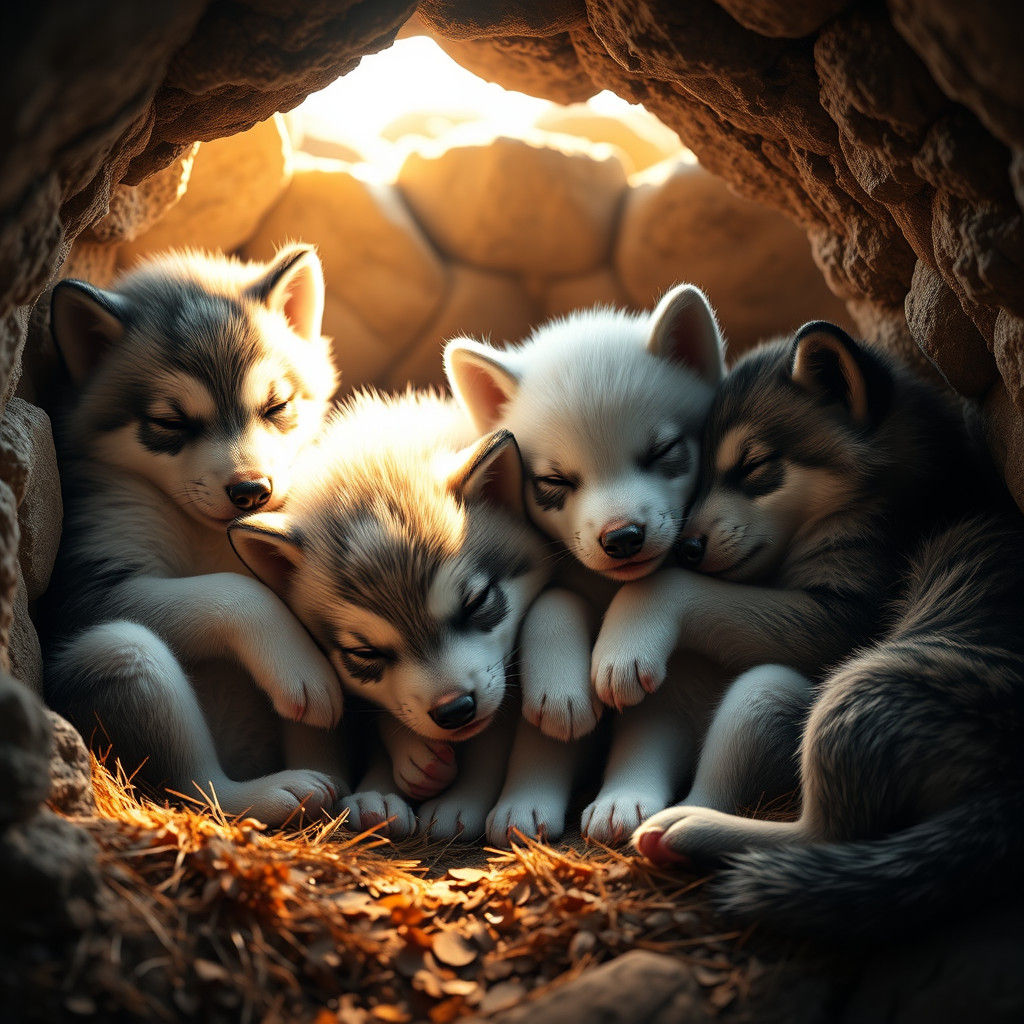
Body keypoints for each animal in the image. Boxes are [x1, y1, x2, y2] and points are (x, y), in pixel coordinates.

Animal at [43, 245, 347, 825]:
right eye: (172, 422)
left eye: (277, 407)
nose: (251, 491)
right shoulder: (92, 582)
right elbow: (233, 590)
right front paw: (301, 662)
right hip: (123, 654)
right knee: (196, 788)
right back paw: (273, 793)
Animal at [445, 285, 730, 844]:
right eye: (554, 481)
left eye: (663, 451)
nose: (622, 538)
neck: (605, 589)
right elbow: (554, 607)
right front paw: (561, 693)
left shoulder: (676, 689)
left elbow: (646, 730)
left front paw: (625, 796)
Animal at [627, 321, 1024, 936]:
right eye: (696, 478)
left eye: (753, 467)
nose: (687, 548)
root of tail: (1011, 791)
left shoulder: (845, 617)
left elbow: (686, 592)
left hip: (859, 688)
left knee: (821, 835)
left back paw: (690, 827)